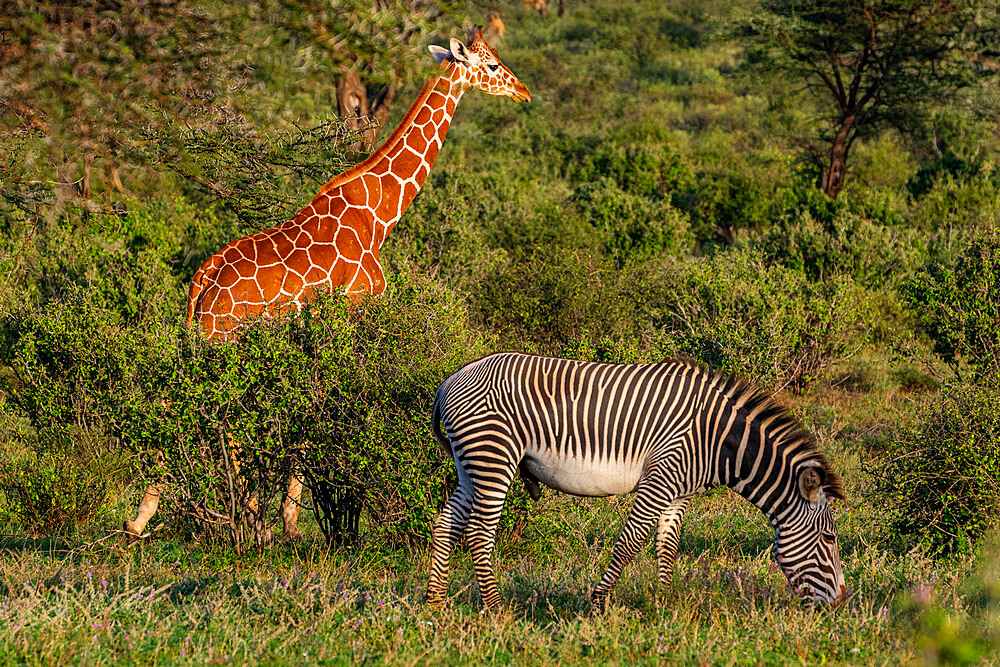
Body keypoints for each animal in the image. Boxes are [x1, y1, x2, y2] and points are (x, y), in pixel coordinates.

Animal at [426, 354, 848, 612]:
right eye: (829, 539)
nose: (842, 602)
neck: (718, 441)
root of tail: (450, 380)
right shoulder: (660, 478)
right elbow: (630, 543)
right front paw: (597, 605)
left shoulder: (679, 493)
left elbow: (667, 546)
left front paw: (664, 602)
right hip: (493, 457)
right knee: (479, 532)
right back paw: (498, 611)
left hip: (471, 464)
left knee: (446, 525)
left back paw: (436, 604)